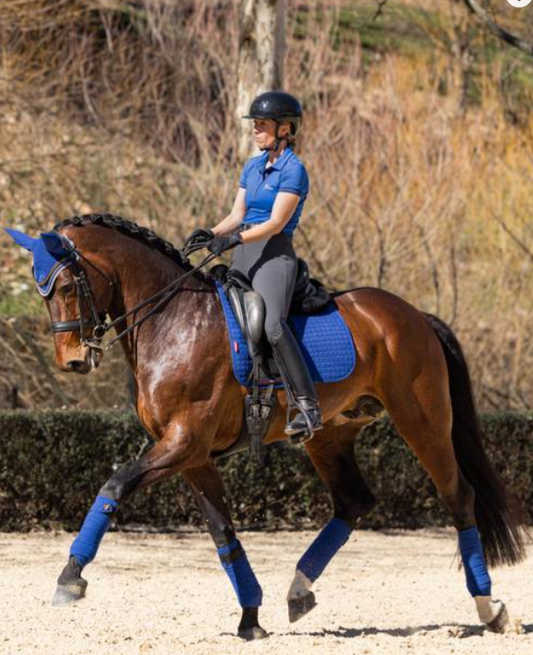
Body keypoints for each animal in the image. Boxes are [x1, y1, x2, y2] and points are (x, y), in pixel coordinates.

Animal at [6, 215, 524, 640]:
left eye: (66, 287)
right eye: (41, 291)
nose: (73, 361)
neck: (173, 322)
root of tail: (414, 315)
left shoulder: (182, 442)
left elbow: (114, 486)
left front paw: (70, 577)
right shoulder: (190, 455)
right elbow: (223, 534)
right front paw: (251, 617)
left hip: (423, 422)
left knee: (458, 497)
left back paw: (489, 608)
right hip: (330, 436)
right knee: (354, 502)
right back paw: (298, 591)